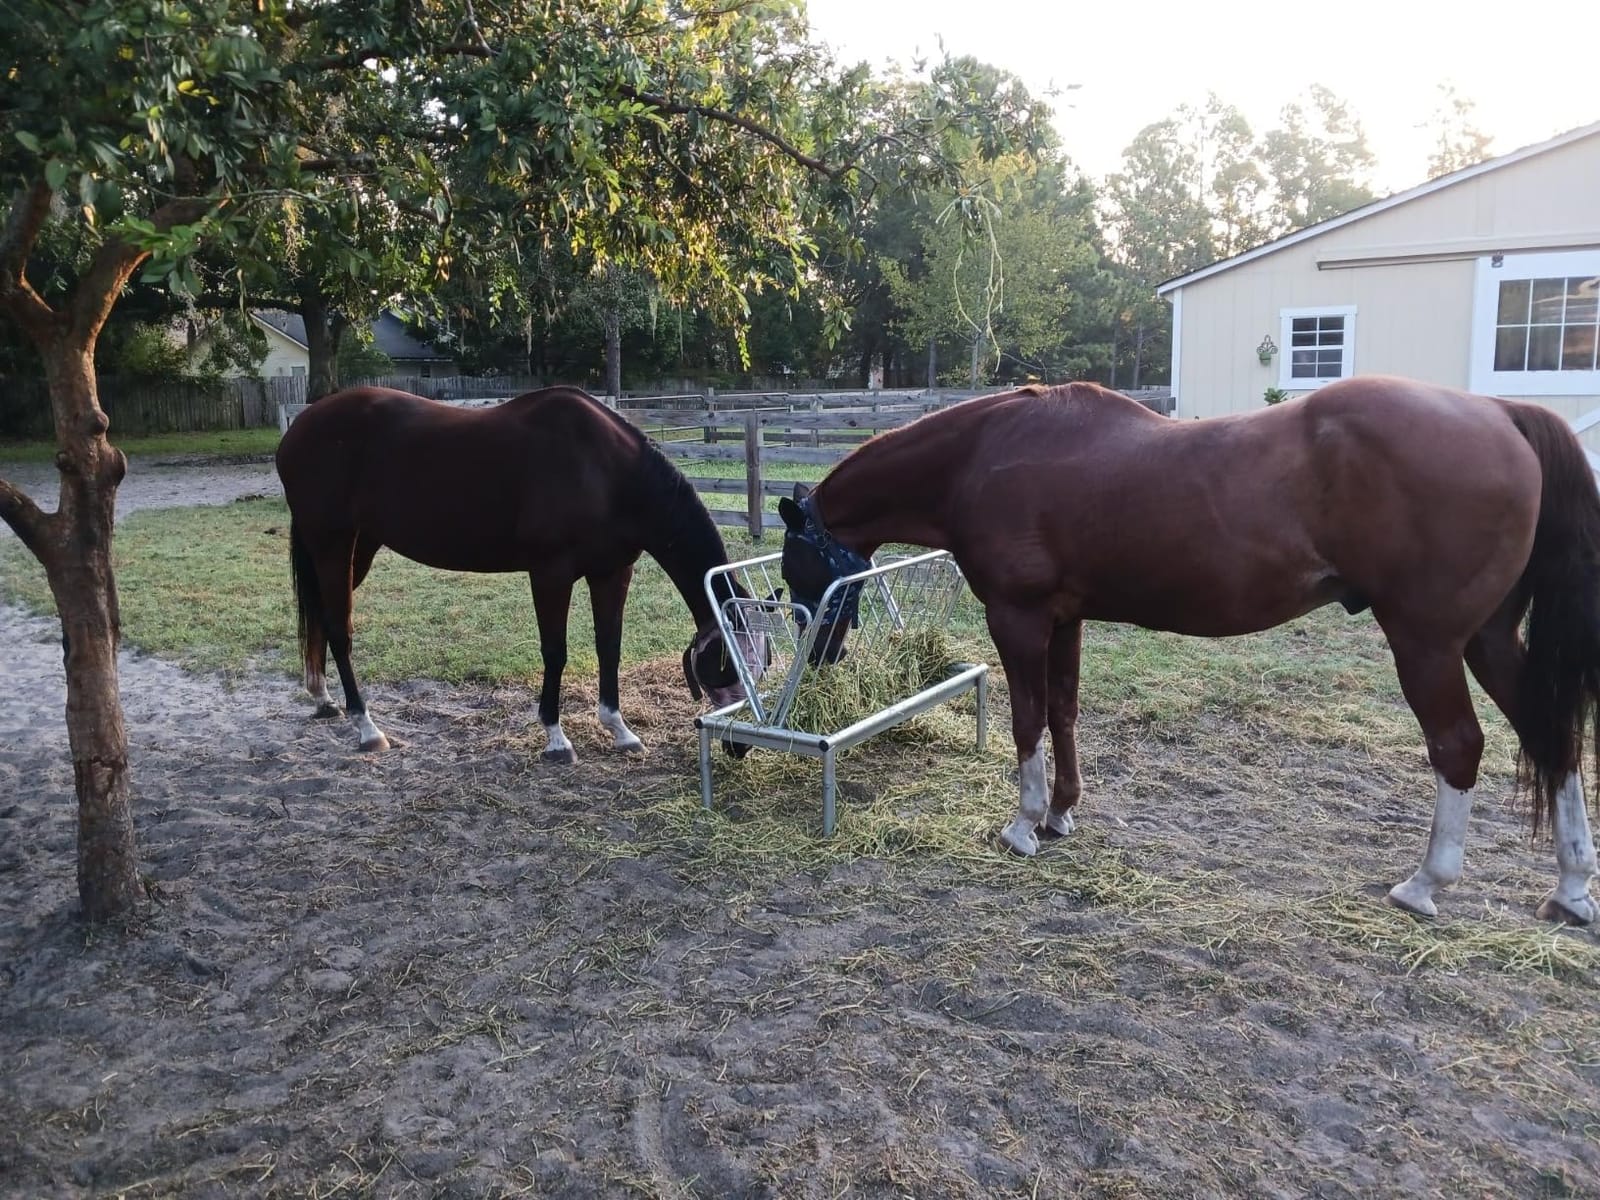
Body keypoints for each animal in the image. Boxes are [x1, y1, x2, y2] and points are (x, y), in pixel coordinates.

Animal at [274, 384, 770, 763]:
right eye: (726, 663)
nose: (739, 747)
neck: (605, 472)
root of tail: (299, 428)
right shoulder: (550, 573)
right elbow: (556, 652)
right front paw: (556, 739)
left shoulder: (612, 573)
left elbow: (609, 648)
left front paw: (620, 730)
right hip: (333, 544)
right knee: (340, 631)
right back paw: (367, 727)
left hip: (357, 548)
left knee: (321, 619)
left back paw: (323, 699)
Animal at [777, 376, 1600, 925]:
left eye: (795, 567)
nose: (820, 656)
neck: (988, 453)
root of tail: (1499, 413)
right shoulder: (1064, 618)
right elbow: (1065, 710)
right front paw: (1062, 814)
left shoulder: (1018, 617)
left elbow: (1027, 719)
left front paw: (1023, 824)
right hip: (1488, 639)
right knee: (1550, 736)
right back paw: (1569, 889)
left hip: (1426, 642)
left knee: (1459, 746)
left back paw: (1426, 884)